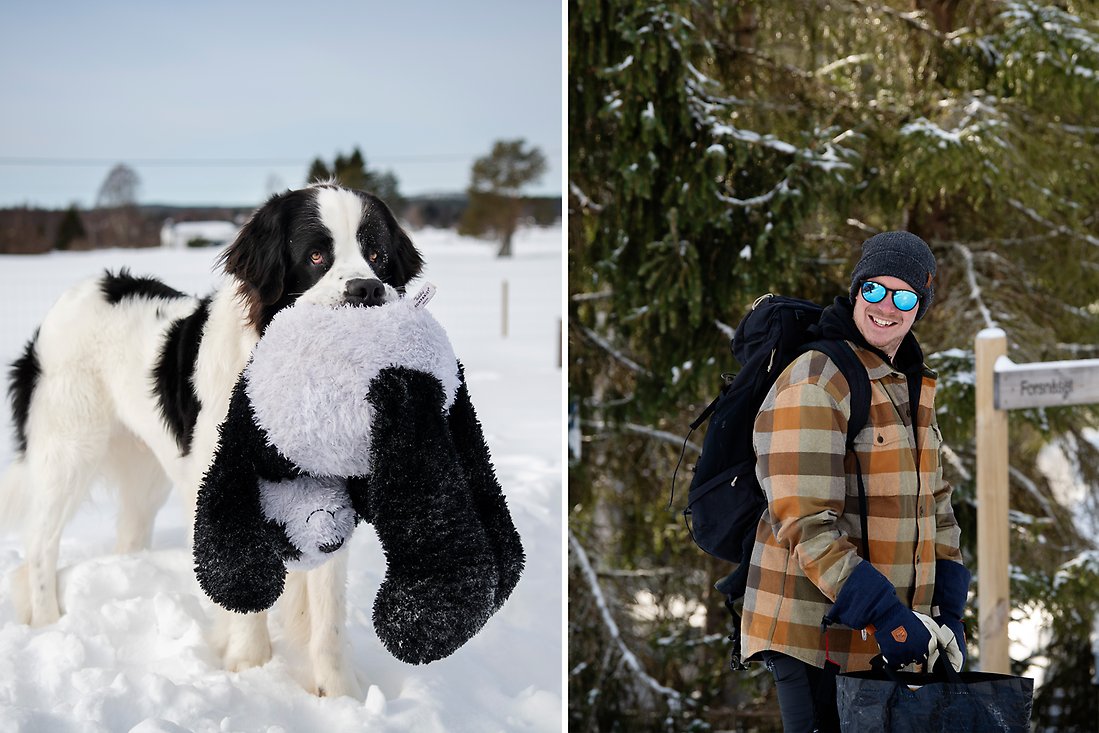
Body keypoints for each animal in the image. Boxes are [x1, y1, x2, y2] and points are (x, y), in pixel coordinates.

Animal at [0, 183, 422, 698]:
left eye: (377, 255)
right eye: (317, 256)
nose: (367, 290)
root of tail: (82, 291)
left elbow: (328, 613)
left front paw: (339, 692)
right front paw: (251, 669)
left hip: (147, 471)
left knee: (128, 530)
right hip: (70, 449)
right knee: (41, 545)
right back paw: (48, 622)